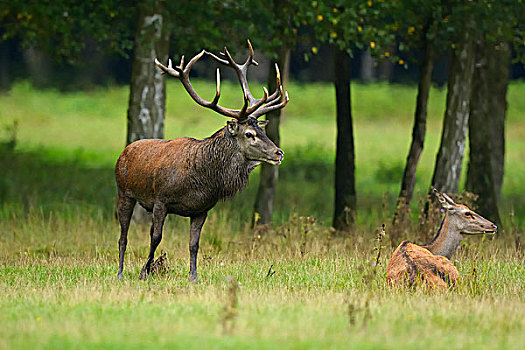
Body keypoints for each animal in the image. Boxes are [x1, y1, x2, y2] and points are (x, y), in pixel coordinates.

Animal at [115, 41, 288, 282]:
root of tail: (124, 151)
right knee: (123, 235)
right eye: (249, 134)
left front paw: (193, 277)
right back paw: (120, 272)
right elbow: (156, 237)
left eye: (262, 130)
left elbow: (194, 244)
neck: (201, 180)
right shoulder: (160, 199)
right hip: (124, 192)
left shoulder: (202, 209)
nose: (279, 153)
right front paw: (144, 272)